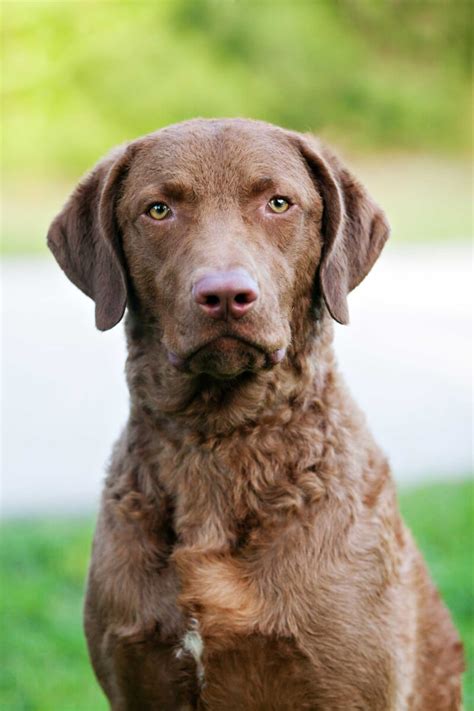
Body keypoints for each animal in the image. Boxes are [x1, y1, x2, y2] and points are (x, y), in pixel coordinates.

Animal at [48, 119, 462, 708]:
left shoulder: (350, 684)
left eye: (279, 203)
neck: (218, 441)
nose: (225, 294)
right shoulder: (133, 678)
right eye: (158, 210)